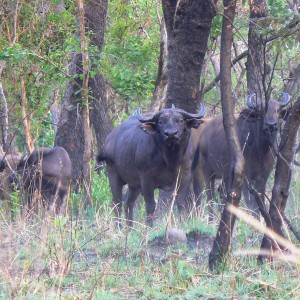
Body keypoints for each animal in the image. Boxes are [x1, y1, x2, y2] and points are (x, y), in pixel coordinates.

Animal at [192, 92, 290, 220]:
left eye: (277, 110)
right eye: (261, 111)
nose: (271, 125)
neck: (260, 150)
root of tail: (203, 133)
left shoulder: (264, 176)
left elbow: (260, 201)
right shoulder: (245, 176)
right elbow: (250, 201)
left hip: (226, 176)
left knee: (221, 193)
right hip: (208, 172)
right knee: (210, 196)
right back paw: (212, 218)